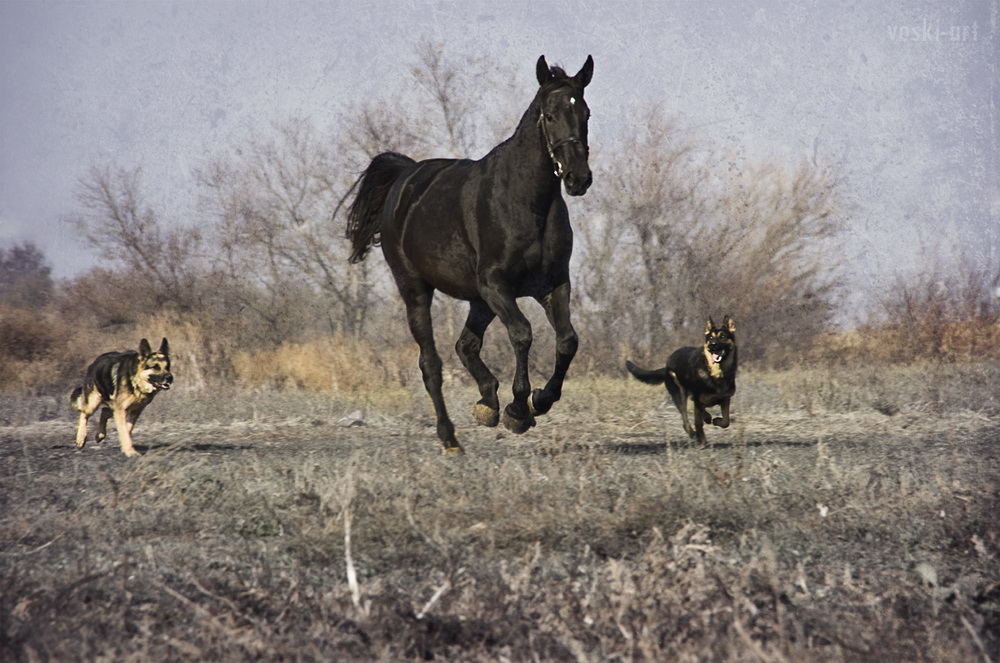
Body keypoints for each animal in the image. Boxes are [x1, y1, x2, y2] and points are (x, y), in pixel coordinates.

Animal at [346, 54, 588, 454]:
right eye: (550, 115)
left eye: (584, 112)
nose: (578, 178)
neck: (526, 202)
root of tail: (405, 178)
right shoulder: (496, 284)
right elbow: (522, 334)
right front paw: (518, 409)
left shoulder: (552, 284)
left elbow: (568, 340)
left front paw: (539, 400)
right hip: (417, 289)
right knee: (431, 363)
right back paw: (450, 437)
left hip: (479, 300)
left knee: (466, 346)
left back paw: (487, 404)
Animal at [624, 318, 736, 446]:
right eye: (711, 338)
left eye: (723, 336)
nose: (713, 345)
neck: (716, 374)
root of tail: (666, 366)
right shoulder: (698, 400)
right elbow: (698, 423)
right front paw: (701, 439)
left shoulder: (726, 398)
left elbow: (726, 421)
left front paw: (716, 421)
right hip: (680, 395)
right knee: (685, 421)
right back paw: (694, 433)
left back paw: (706, 418)